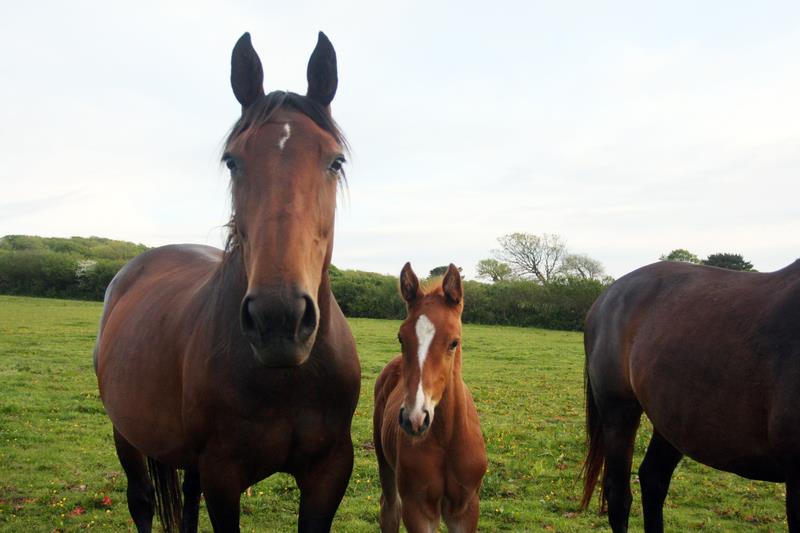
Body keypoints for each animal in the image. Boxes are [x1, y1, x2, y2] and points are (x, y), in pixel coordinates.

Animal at [92, 33, 360, 532]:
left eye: (335, 161)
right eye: (232, 161)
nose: (279, 319)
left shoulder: (330, 471)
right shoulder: (222, 474)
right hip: (127, 435)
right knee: (141, 502)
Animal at [374, 262, 488, 532]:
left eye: (454, 342)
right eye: (401, 338)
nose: (415, 418)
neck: (446, 437)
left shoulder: (466, 508)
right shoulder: (418, 507)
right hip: (383, 460)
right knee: (389, 510)